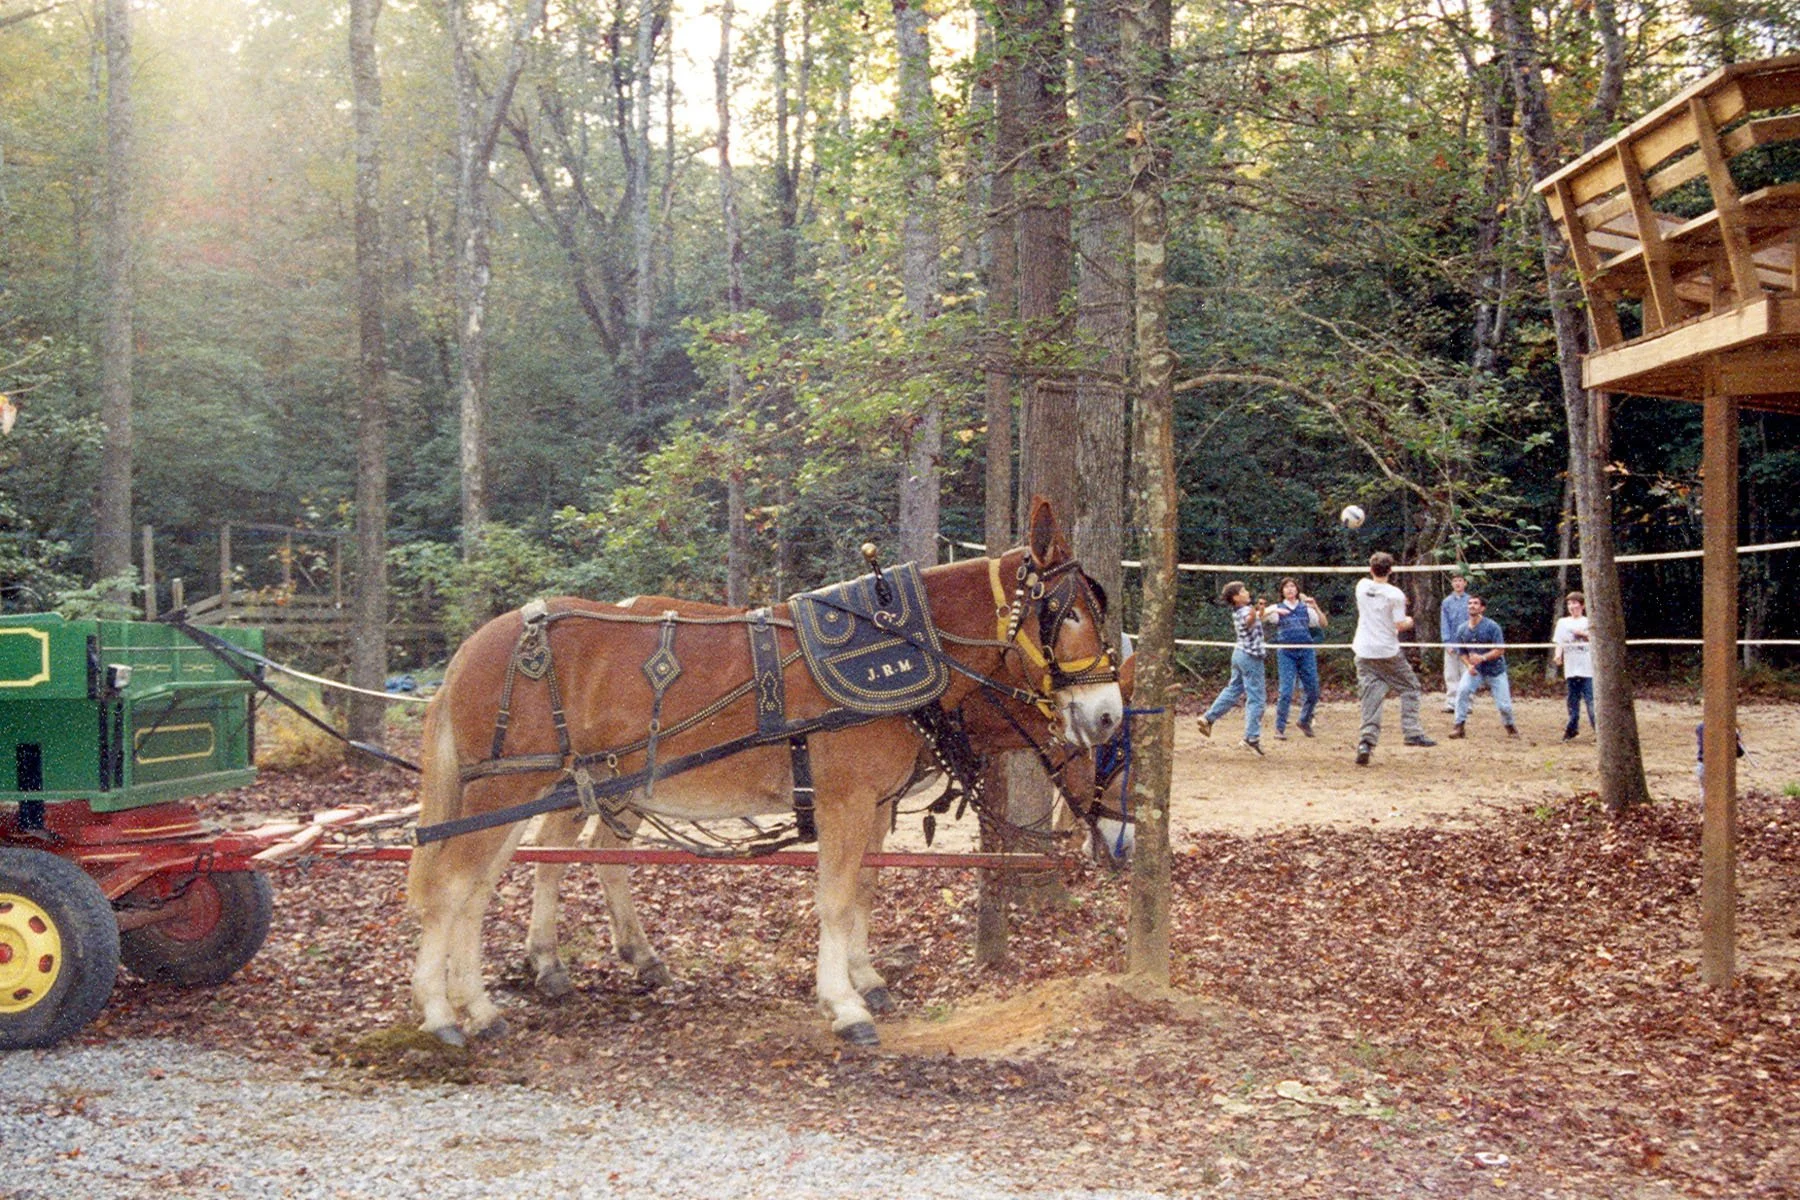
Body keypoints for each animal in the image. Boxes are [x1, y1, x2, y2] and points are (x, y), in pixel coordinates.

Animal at [406, 497, 1121, 1046]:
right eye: (1068, 613)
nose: (1107, 712)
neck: (905, 646)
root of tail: (476, 644)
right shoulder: (844, 800)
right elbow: (835, 898)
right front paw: (844, 1006)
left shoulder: (875, 805)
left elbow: (862, 891)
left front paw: (866, 980)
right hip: (507, 786)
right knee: (451, 886)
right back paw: (444, 1012)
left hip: (546, 787)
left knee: (488, 885)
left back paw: (491, 1002)